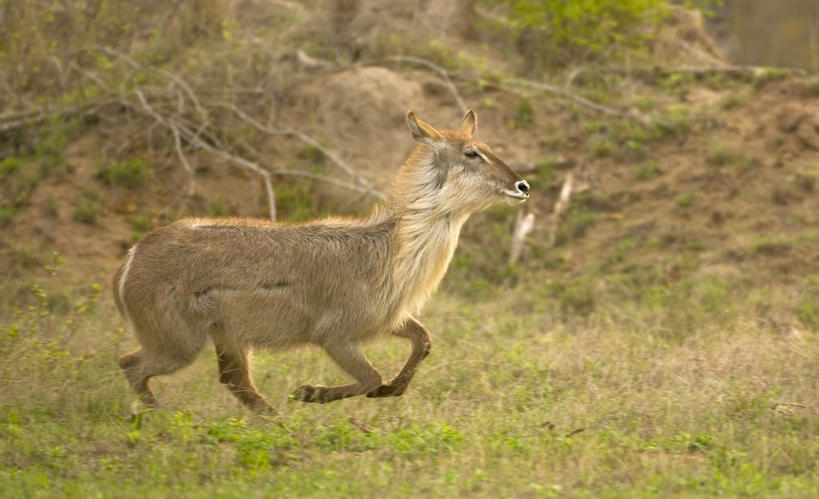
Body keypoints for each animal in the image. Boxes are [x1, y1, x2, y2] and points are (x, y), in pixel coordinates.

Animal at [115, 111, 532, 412]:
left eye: (486, 145)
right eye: (471, 153)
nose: (523, 186)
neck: (391, 252)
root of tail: (131, 260)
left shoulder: (387, 318)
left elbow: (424, 340)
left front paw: (391, 390)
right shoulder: (335, 335)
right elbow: (370, 377)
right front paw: (311, 392)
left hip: (225, 336)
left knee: (233, 382)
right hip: (180, 342)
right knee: (132, 366)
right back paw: (163, 421)